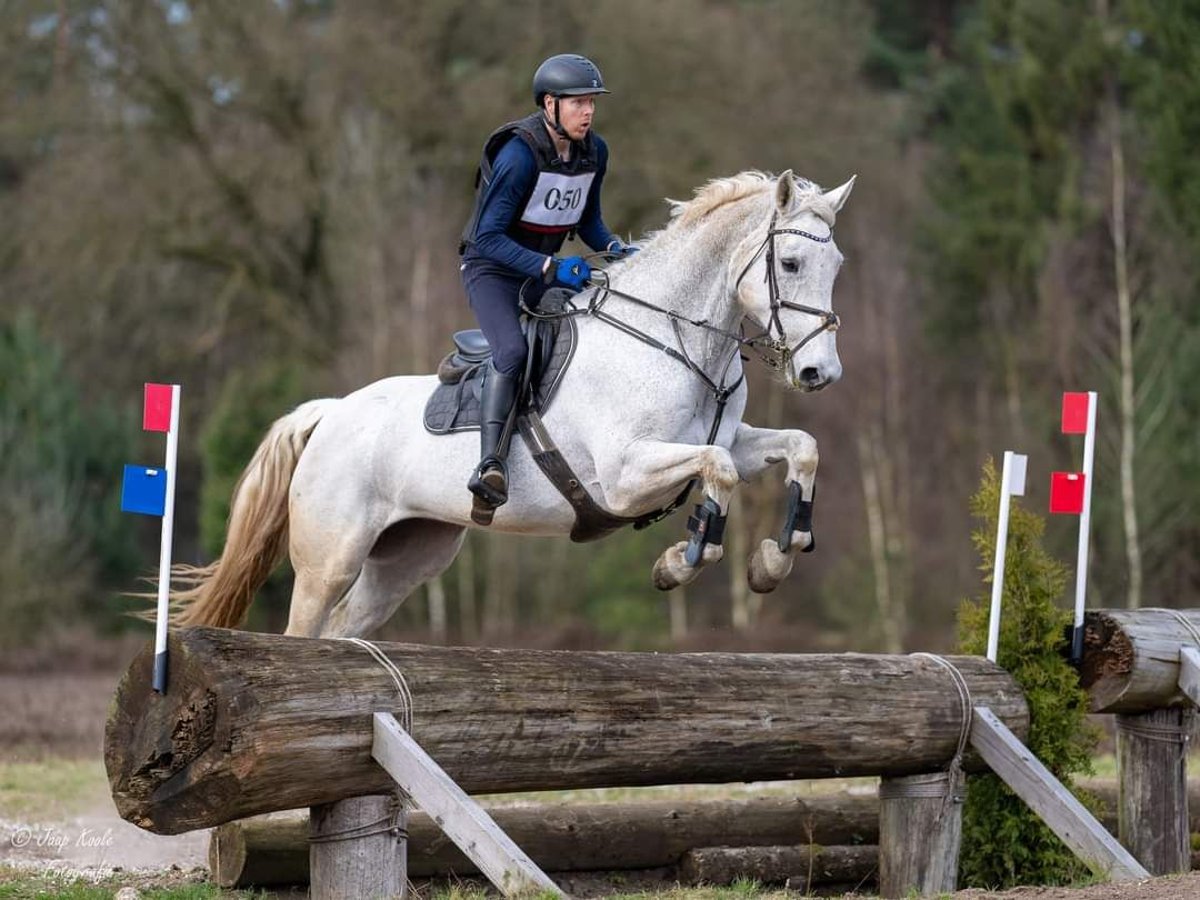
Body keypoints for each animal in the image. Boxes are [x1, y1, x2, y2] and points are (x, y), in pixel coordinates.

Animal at [174, 165, 859, 638]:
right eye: (790, 263)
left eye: (836, 265)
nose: (820, 372)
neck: (678, 338)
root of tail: (328, 413)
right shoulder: (625, 475)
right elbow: (718, 473)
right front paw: (679, 562)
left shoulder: (727, 441)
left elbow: (800, 448)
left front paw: (773, 560)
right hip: (329, 559)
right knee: (305, 630)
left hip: (406, 559)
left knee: (348, 629)